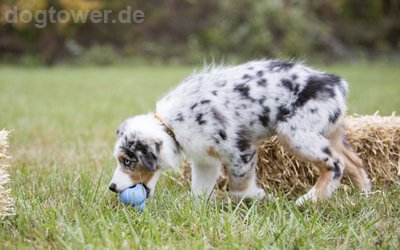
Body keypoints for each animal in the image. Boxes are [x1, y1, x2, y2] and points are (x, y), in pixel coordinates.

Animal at [108, 60, 370, 205]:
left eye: (128, 161)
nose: (111, 187)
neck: (171, 125)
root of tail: (333, 83)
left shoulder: (239, 150)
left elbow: (239, 188)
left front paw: (264, 198)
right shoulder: (205, 160)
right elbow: (199, 191)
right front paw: (197, 213)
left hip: (295, 133)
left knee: (336, 163)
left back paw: (310, 199)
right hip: (329, 132)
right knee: (354, 162)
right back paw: (365, 196)